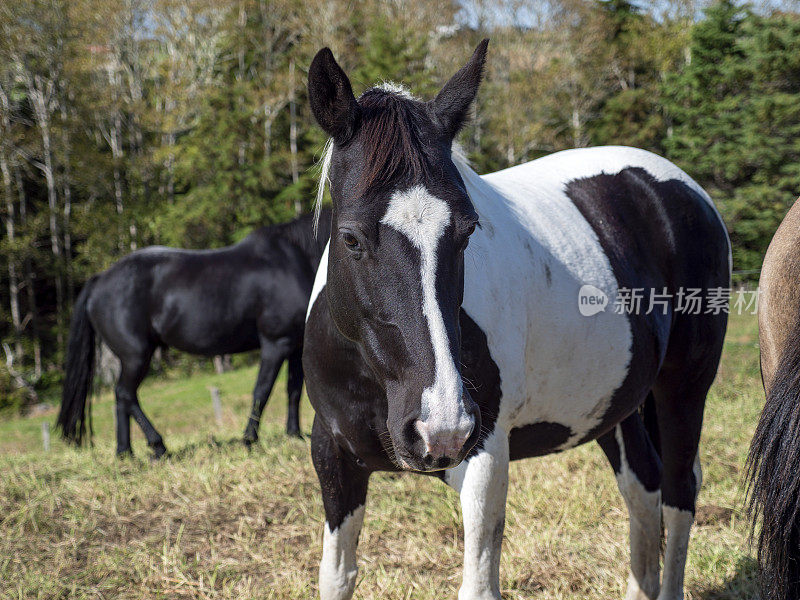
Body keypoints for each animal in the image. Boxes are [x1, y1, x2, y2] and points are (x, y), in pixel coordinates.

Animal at [57, 209, 330, 458]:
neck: (294, 259)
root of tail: (99, 280)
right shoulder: (276, 343)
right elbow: (261, 391)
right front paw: (249, 439)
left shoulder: (295, 344)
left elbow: (294, 390)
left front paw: (294, 434)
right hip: (136, 355)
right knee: (126, 394)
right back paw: (158, 446)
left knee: (121, 399)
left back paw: (125, 452)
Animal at [304, 39, 728, 596]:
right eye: (351, 237)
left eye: (467, 231)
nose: (439, 427)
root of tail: (679, 188)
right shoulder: (333, 456)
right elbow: (337, 577)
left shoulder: (483, 455)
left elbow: (479, 582)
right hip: (619, 407)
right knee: (645, 490)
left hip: (684, 389)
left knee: (679, 495)